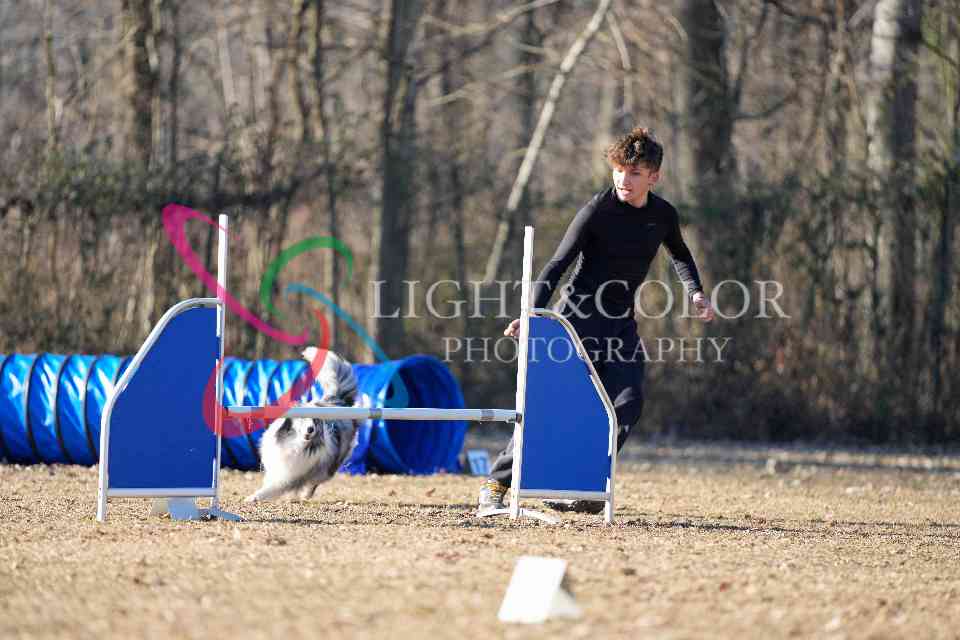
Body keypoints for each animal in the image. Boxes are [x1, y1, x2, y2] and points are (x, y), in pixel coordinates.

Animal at [244, 348, 359, 503]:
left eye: (316, 420)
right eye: (303, 417)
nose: (311, 429)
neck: (295, 444)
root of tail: (337, 401)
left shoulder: (291, 476)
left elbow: (272, 488)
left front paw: (253, 497)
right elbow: (269, 482)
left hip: (329, 466)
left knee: (315, 481)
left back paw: (305, 495)